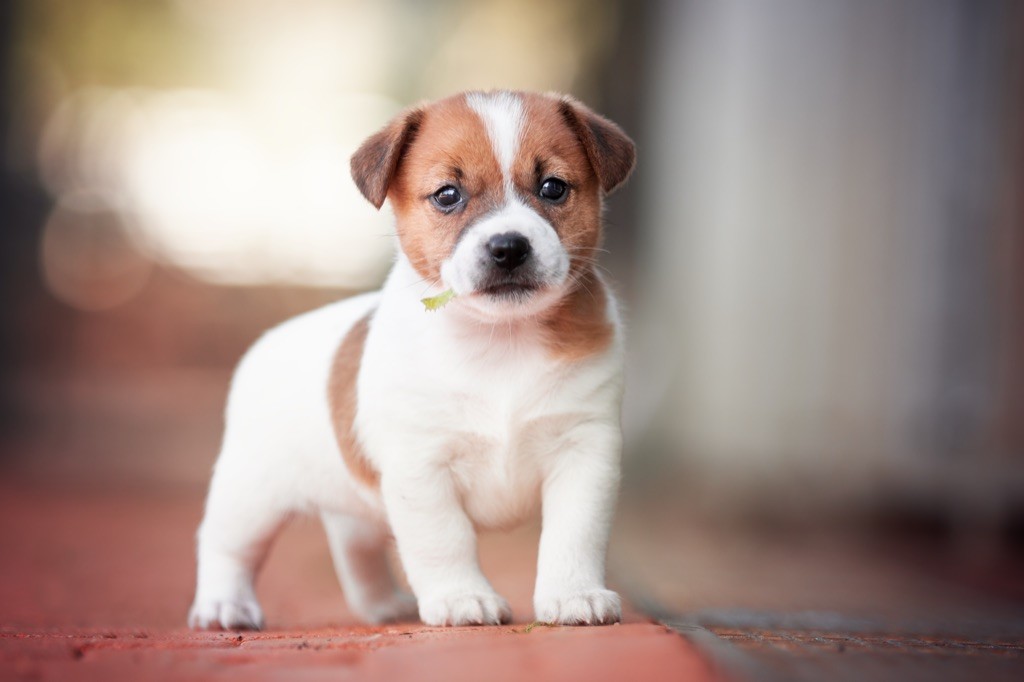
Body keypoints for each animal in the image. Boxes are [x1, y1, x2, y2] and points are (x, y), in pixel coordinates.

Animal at [184, 90, 630, 626]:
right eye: (447, 195)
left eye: (553, 188)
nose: (508, 247)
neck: (500, 340)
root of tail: (267, 344)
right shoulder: (421, 466)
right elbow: (443, 540)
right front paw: (462, 597)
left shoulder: (584, 452)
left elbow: (574, 533)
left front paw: (573, 594)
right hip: (251, 495)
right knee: (225, 546)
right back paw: (223, 605)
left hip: (351, 508)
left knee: (355, 549)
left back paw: (383, 606)